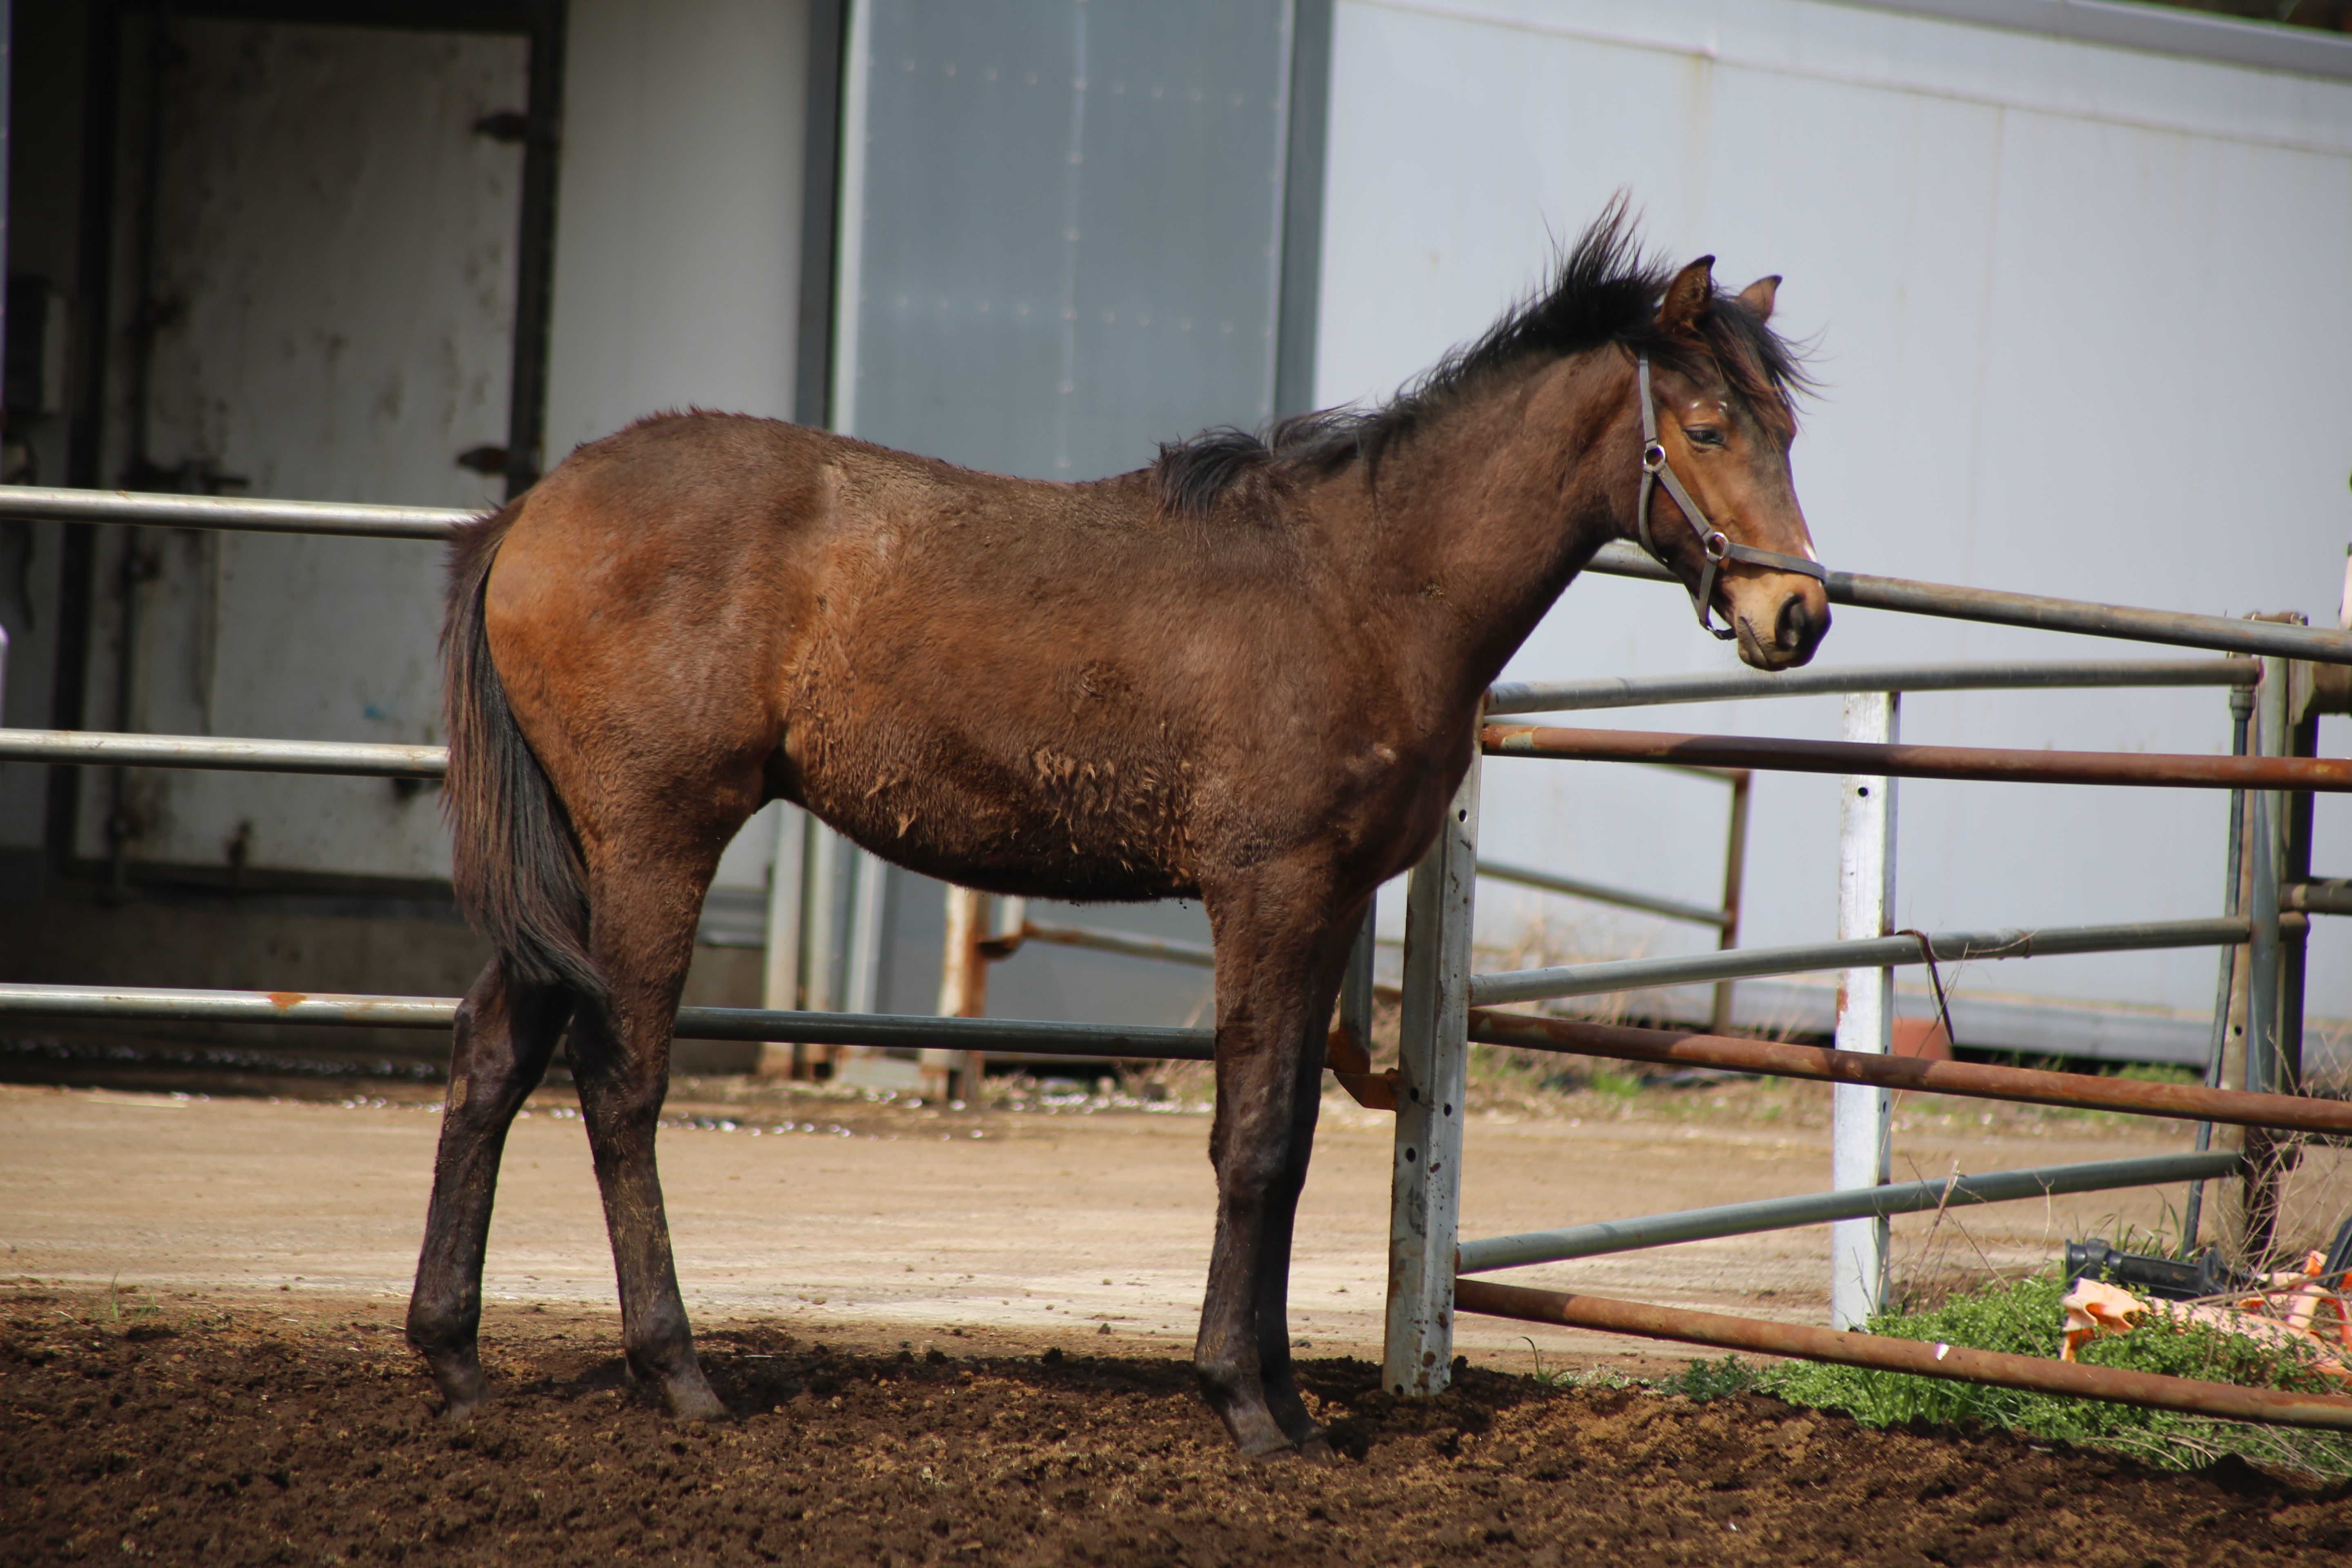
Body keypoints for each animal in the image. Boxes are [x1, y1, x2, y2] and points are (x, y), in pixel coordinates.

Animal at [409, 208, 1834, 1457]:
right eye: (1706, 425)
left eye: (1788, 430)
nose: (1800, 615)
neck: (1365, 583)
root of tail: (535, 514)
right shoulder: (1269, 892)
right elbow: (1250, 1141)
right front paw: (1243, 1404)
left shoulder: (1324, 904)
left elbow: (1292, 1143)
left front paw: (1292, 1405)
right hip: (654, 841)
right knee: (619, 1079)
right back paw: (677, 1372)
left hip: (576, 859)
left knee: (492, 1053)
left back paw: (454, 1357)